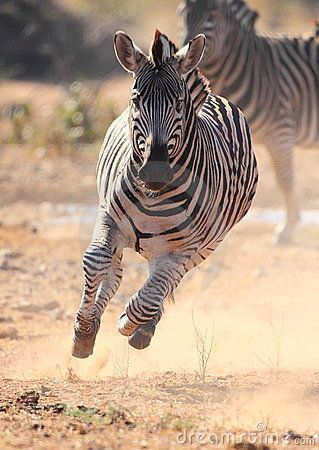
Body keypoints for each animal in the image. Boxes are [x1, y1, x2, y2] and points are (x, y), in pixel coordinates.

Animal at [71, 29, 258, 358]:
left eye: (179, 103)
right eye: (136, 100)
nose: (155, 173)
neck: (153, 197)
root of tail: (214, 100)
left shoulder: (184, 247)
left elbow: (149, 297)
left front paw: (128, 322)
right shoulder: (108, 218)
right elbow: (96, 262)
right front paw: (83, 331)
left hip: (205, 245)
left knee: (165, 282)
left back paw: (143, 328)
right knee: (116, 272)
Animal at [181, 0, 319, 243]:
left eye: (212, 15)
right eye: (183, 14)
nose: (184, 58)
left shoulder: (280, 133)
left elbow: (285, 180)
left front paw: (287, 228)